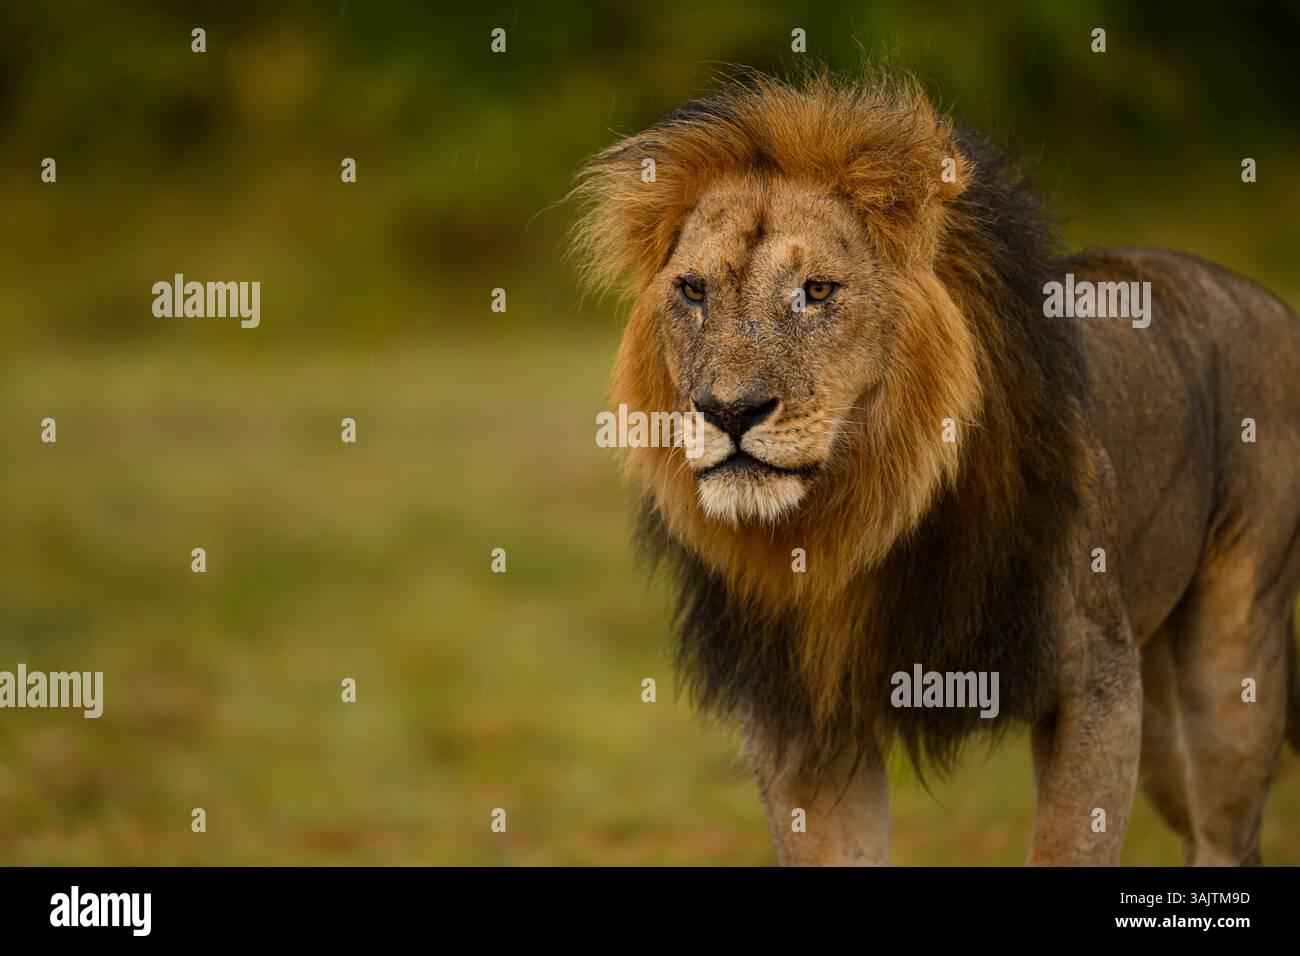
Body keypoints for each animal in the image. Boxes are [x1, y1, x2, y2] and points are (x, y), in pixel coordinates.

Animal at [571, 67, 1300, 865]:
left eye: (816, 291)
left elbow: (1069, 847)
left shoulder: (1097, 682)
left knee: (1227, 830)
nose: (729, 411)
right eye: (694, 291)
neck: (853, 521)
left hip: (1231, 667)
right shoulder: (800, 720)